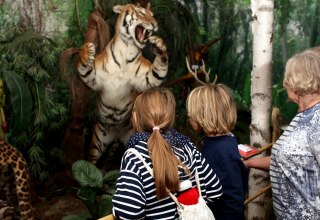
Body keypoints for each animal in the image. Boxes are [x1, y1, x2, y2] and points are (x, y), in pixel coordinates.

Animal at [77, 3, 169, 164]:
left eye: (152, 15)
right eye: (141, 12)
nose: (155, 24)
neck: (127, 50)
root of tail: (116, 134)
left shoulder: (147, 78)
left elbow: (159, 69)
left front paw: (159, 46)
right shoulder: (95, 78)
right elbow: (84, 68)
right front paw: (87, 50)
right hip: (97, 141)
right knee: (91, 162)